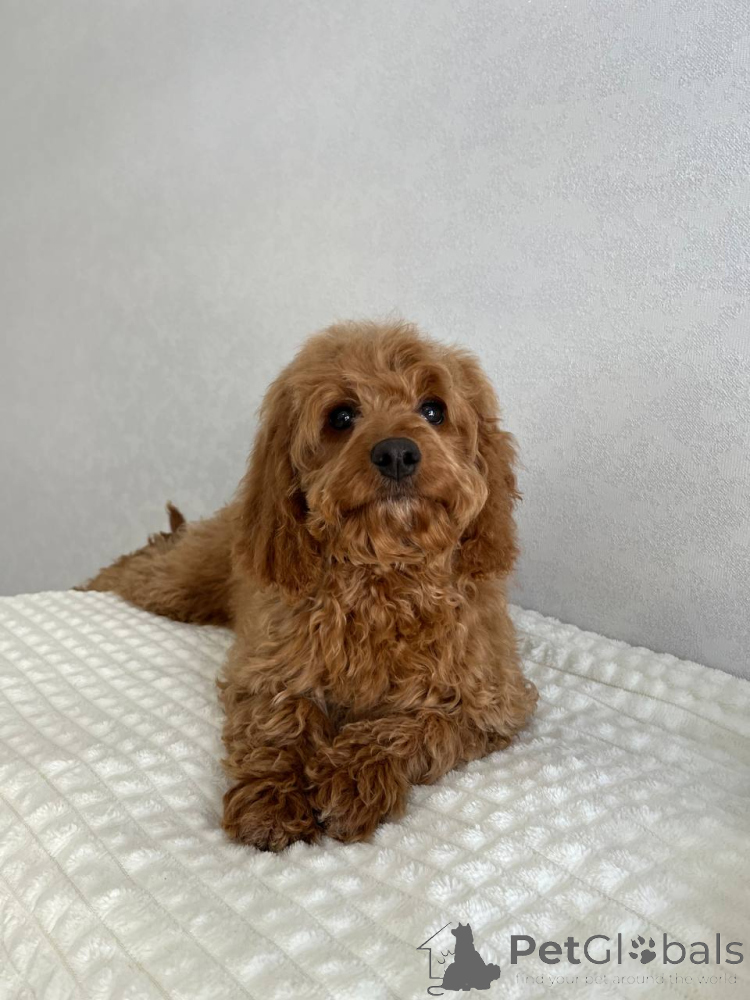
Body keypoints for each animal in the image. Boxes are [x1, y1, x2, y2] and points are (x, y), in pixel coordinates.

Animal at [82, 320, 537, 849]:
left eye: (433, 409)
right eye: (341, 416)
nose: (397, 452)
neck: (383, 579)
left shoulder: (489, 702)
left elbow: (407, 727)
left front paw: (352, 779)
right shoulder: (269, 670)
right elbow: (282, 722)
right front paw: (273, 800)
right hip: (179, 585)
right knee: (144, 561)